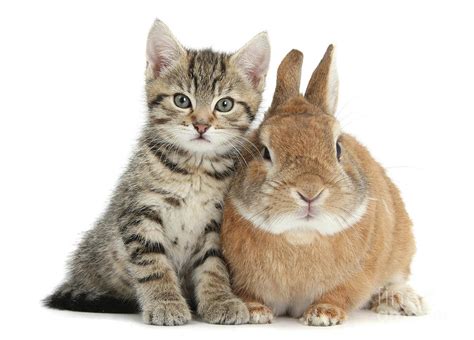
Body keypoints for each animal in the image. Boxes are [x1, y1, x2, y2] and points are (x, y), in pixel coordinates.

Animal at [45, 19, 270, 326]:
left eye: (225, 104)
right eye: (182, 100)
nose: (201, 125)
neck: (195, 169)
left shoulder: (216, 223)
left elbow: (214, 265)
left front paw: (220, 300)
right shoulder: (139, 213)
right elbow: (152, 263)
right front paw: (165, 303)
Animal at [220, 46, 428, 326]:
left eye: (338, 148)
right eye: (264, 151)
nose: (310, 191)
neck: (300, 237)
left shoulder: (355, 278)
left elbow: (339, 294)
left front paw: (323, 315)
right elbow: (248, 294)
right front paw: (255, 312)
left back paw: (404, 301)